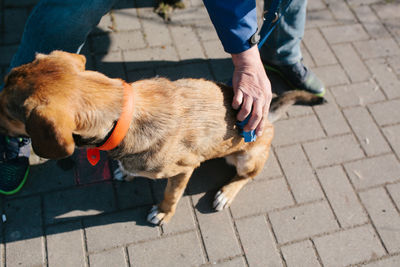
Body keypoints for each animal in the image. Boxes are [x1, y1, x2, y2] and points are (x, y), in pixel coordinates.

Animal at [0, 51, 324, 225]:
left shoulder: (184, 170)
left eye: (8, 113)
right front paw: (125, 171)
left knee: (248, 176)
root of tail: (267, 117)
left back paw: (226, 192)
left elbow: (171, 194)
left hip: (246, 157)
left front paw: (163, 213)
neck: (124, 115)